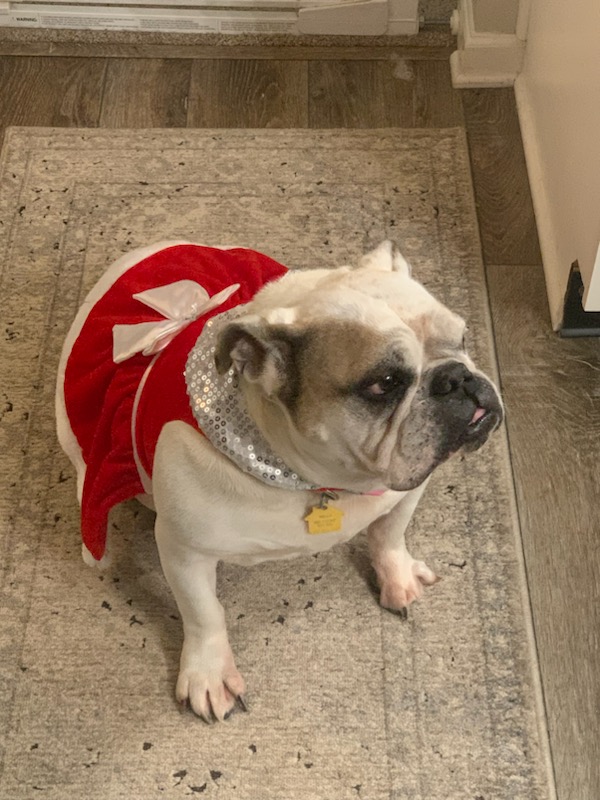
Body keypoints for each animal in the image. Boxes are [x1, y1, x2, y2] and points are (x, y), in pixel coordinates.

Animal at [56, 239, 503, 723]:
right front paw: (209, 674)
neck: (315, 480)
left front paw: (397, 577)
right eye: (383, 384)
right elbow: (203, 612)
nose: (458, 377)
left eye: (462, 339)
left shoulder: (406, 489)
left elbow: (390, 535)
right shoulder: (183, 548)